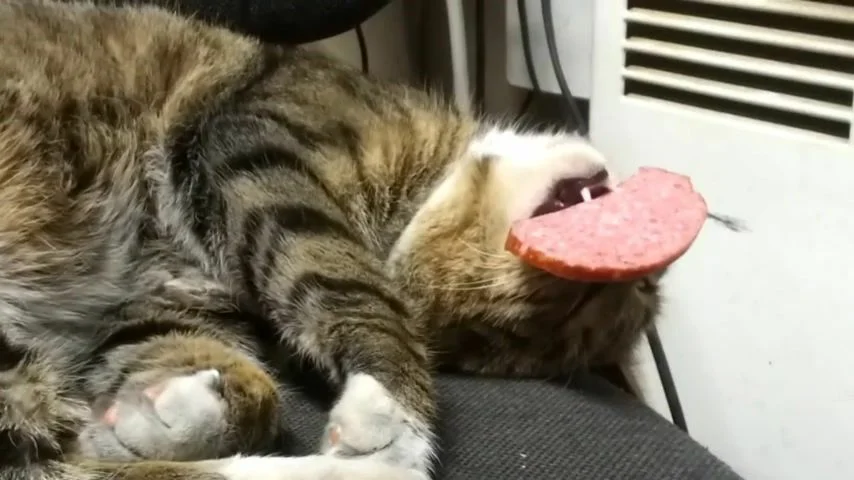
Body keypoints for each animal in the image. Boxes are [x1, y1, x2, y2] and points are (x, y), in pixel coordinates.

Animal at [0, 1, 661, 480]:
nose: (646, 276)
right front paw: (392, 412)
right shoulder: (254, 142)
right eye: (590, 294)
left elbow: (200, 366)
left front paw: (148, 421)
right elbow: (353, 287)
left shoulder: (153, 305)